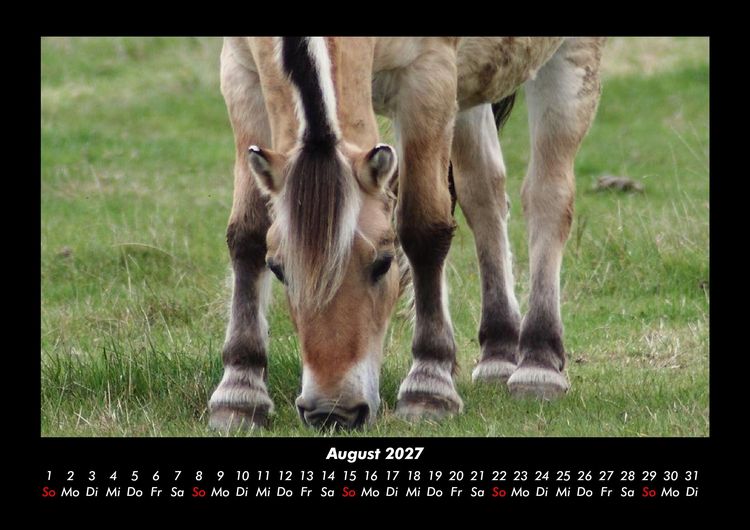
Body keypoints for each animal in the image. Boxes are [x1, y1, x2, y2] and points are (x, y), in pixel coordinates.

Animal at [208, 37, 605, 430]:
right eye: (278, 270)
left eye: (383, 263)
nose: (332, 412)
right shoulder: (241, 75)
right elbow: (248, 234)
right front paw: (239, 393)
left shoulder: (429, 77)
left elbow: (423, 230)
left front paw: (429, 385)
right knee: (484, 193)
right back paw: (498, 352)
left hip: (571, 62)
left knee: (547, 199)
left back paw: (539, 364)